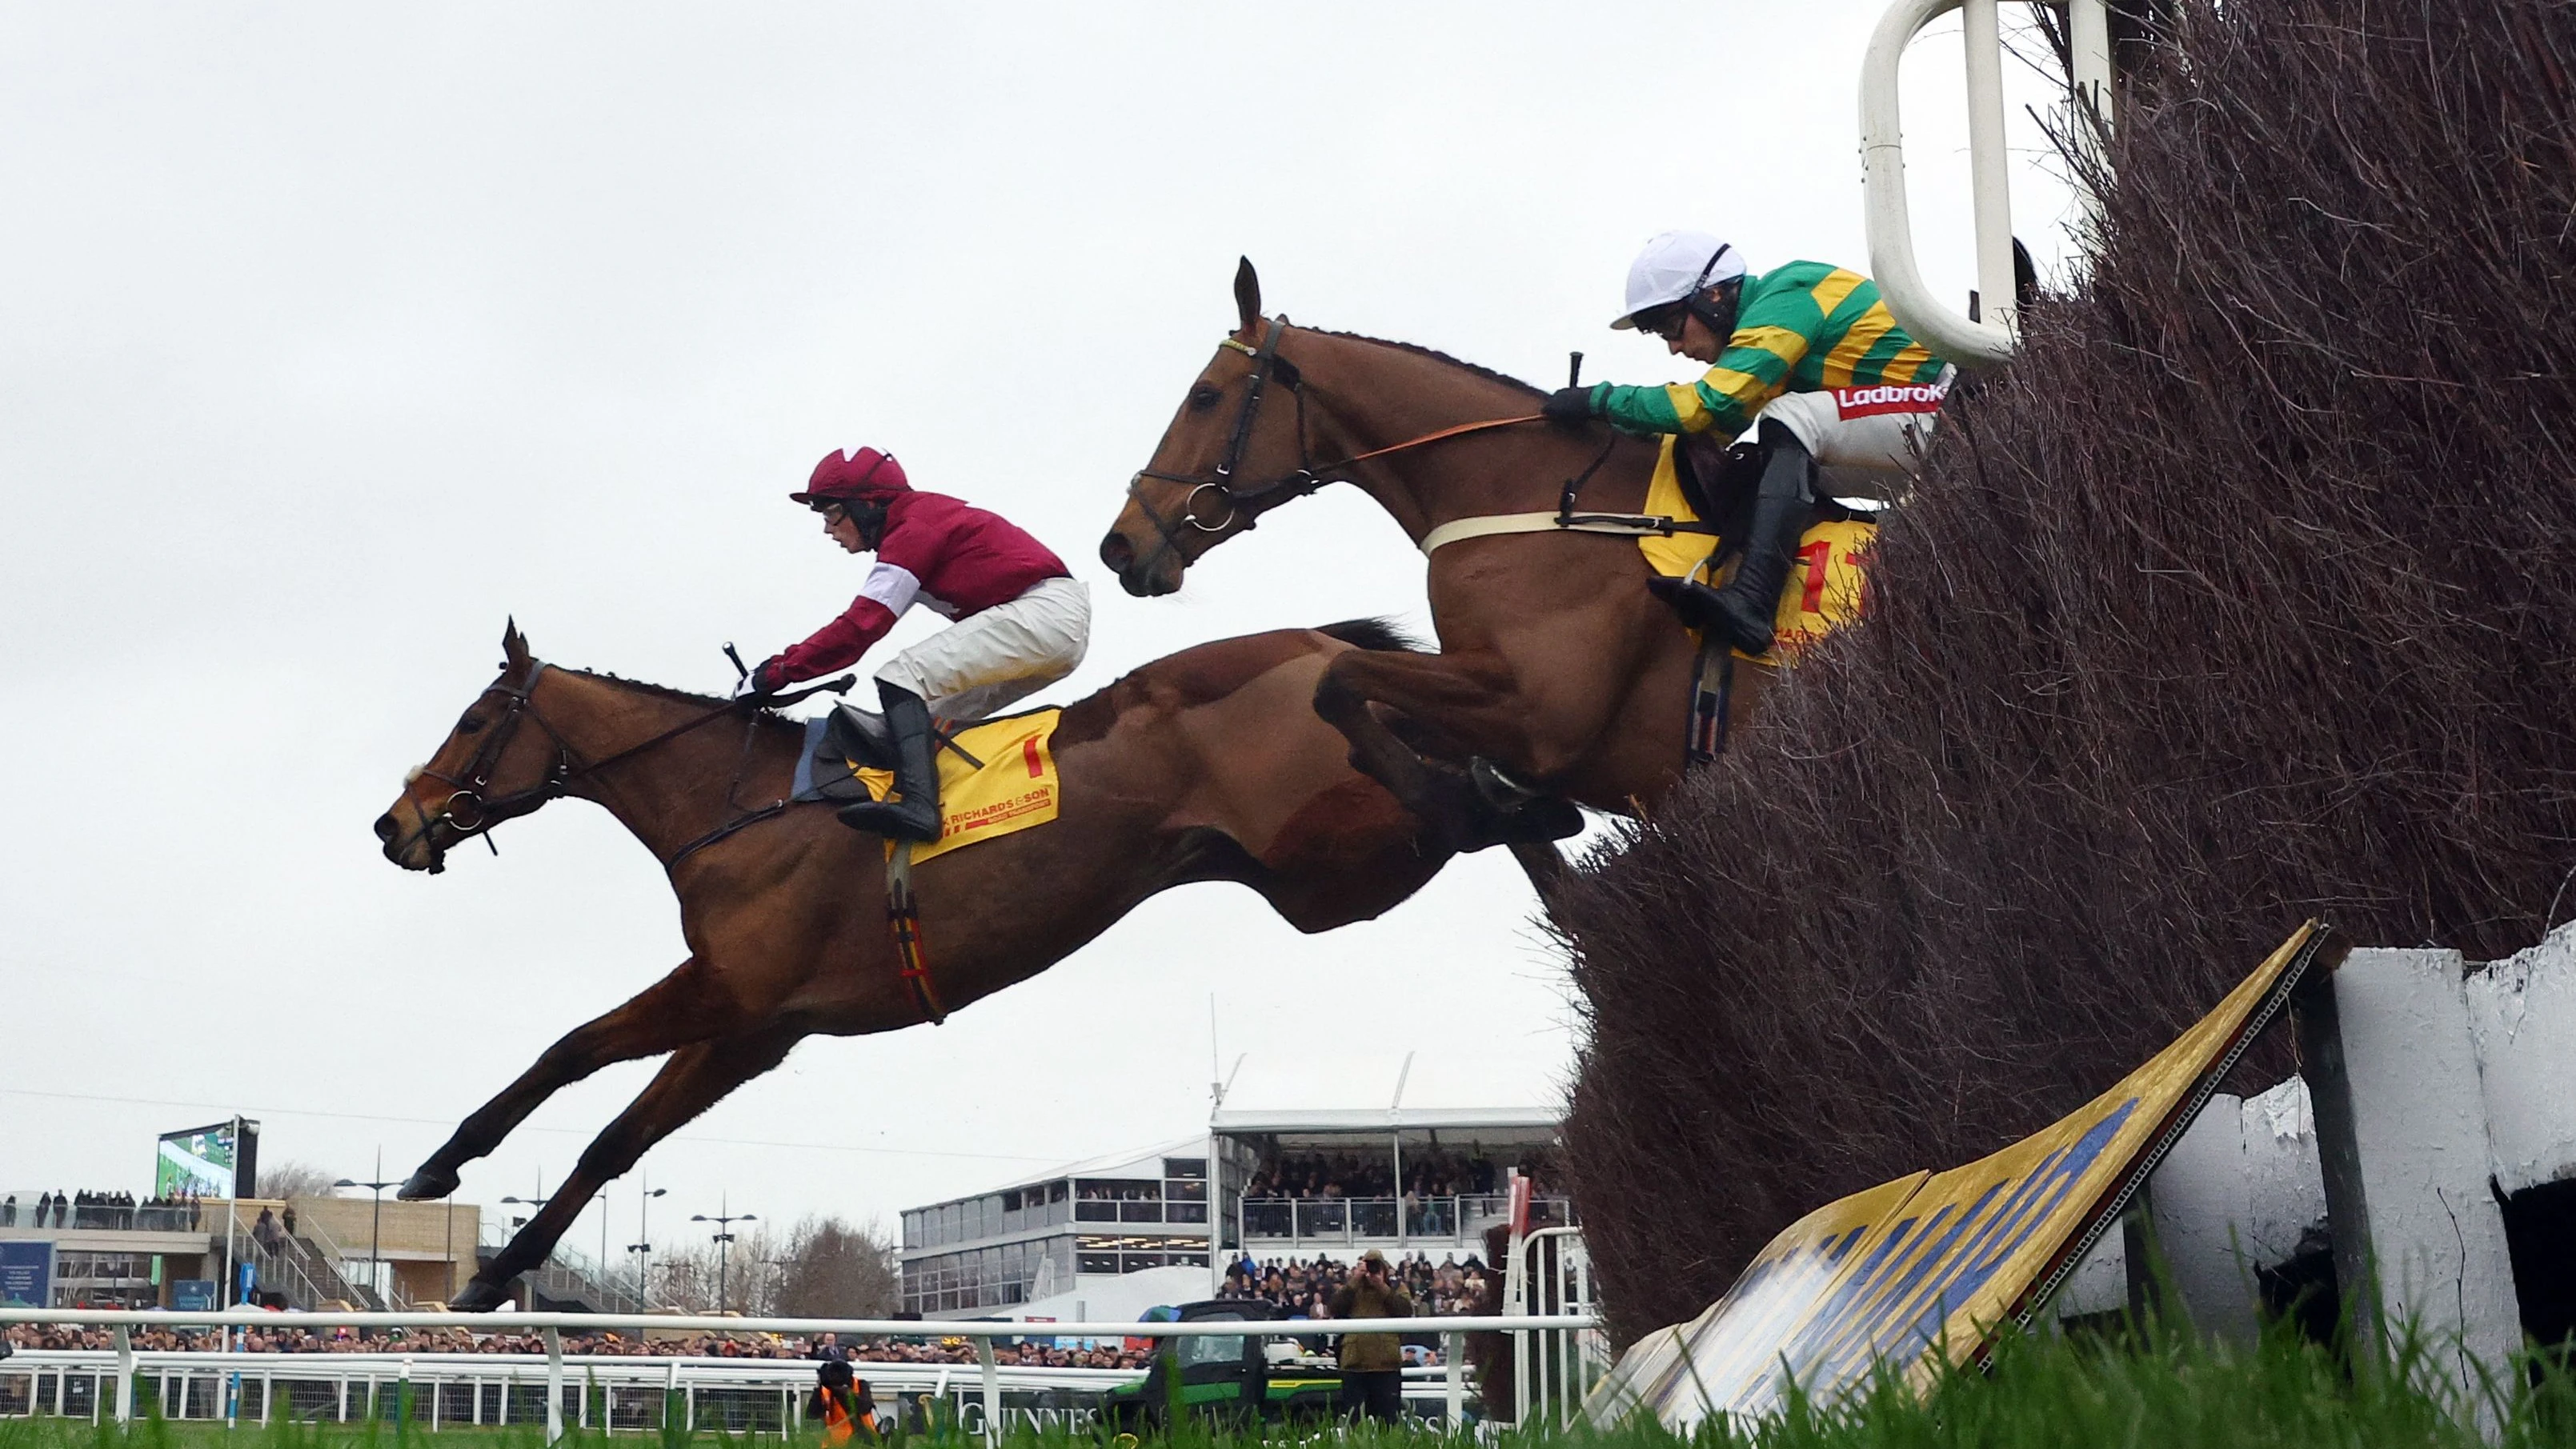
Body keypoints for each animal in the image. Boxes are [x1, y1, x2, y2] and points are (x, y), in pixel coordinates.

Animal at [374, 619, 1456, 1309]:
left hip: (1333, 858)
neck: (745, 809)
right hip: (1318, 874)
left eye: (475, 719)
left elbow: (568, 1051)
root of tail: (1325, 641)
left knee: (1463, 798)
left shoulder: (728, 987)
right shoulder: (756, 1025)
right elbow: (614, 1138)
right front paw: (491, 1266)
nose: (394, 824)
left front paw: (440, 1164)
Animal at [1099, 260, 1777, 852]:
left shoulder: (1539, 712)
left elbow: (1337, 677)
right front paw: (1498, 800)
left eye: (1204, 396)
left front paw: (1457, 806)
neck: (1542, 500)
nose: (1118, 545)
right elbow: (1360, 721)